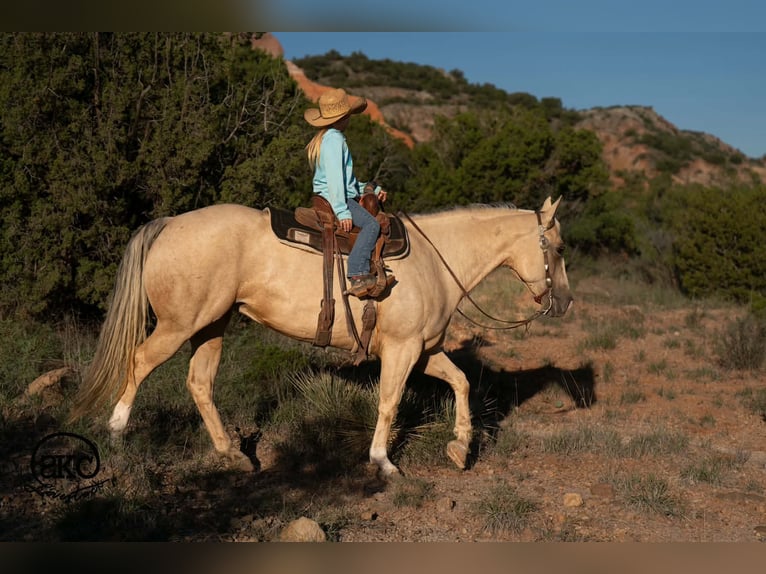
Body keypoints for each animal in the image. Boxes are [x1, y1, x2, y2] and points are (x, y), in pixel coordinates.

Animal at [71, 196, 573, 476]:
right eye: (560, 248)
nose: (565, 301)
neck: (436, 259)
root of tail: (169, 223)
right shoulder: (403, 349)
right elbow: (389, 401)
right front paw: (383, 461)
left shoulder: (424, 349)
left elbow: (462, 383)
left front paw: (460, 447)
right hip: (180, 325)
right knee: (139, 362)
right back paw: (117, 432)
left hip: (212, 325)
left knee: (199, 383)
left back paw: (232, 454)